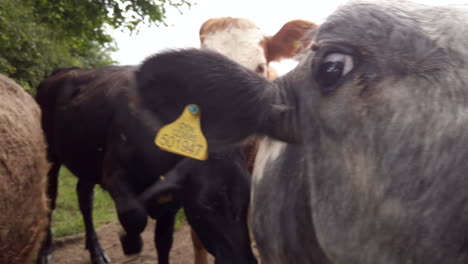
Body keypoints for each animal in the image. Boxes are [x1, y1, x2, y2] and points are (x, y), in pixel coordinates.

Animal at [35, 65, 258, 264]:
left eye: (248, 198)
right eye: (207, 203)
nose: (243, 260)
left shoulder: (172, 201)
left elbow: (164, 241)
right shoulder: (113, 176)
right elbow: (134, 215)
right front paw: (129, 241)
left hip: (87, 162)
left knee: (85, 198)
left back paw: (96, 252)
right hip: (50, 156)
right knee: (49, 199)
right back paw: (45, 251)